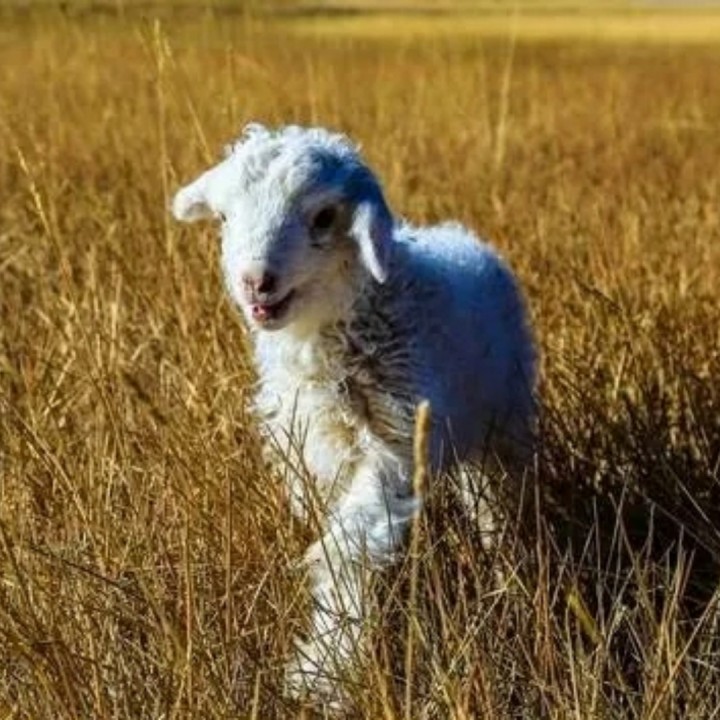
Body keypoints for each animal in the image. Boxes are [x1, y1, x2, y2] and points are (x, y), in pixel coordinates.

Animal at [171, 123, 536, 703]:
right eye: (225, 217)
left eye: (323, 217)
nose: (256, 280)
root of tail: (461, 234)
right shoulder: (311, 451)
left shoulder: (394, 439)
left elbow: (348, 548)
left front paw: (322, 669)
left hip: (506, 422)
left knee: (496, 501)